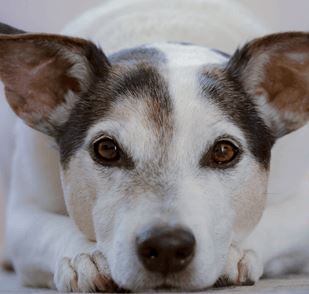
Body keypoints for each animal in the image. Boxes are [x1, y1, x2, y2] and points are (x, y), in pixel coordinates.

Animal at [0, 0, 306, 292]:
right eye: (106, 149)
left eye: (223, 151)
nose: (167, 247)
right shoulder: (22, 217)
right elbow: (50, 229)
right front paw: (84, 257)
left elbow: (271, 222)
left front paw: (234, 253)